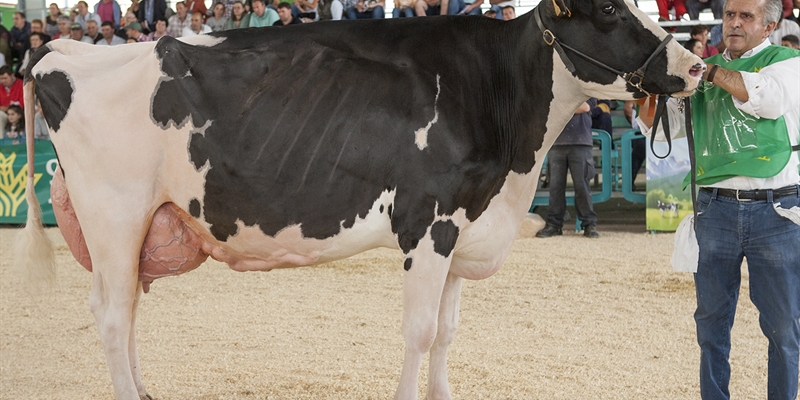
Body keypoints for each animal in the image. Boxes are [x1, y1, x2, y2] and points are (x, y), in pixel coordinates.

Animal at [20, 1, 700, 398]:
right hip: (115, 215)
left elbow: (448, 333)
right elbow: (421, 333)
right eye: (608, 10)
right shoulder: (428, 222)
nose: (694, 65)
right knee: (113, 317)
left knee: (127, 311)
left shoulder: (465, 224)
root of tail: (60, 52)